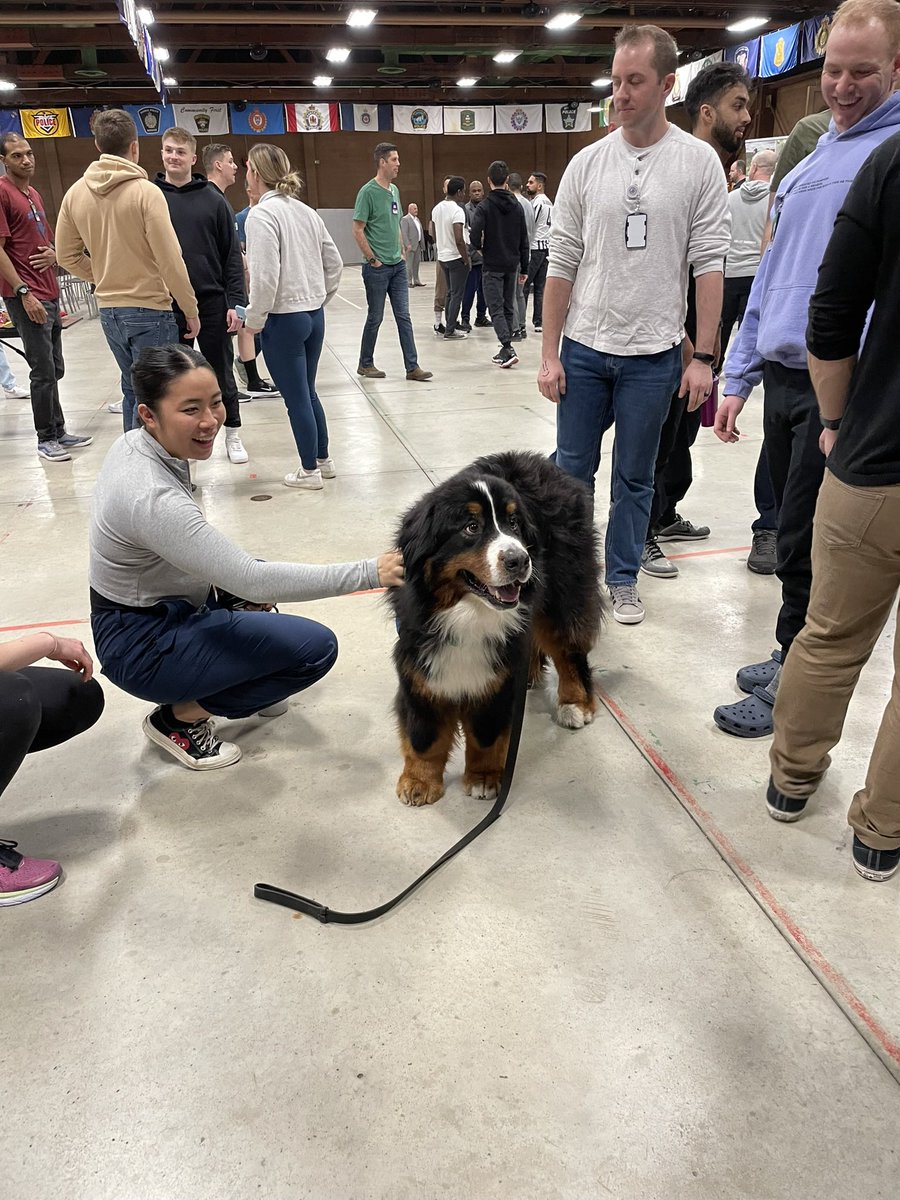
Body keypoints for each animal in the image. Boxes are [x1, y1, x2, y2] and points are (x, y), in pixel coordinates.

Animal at [391, 451, 602, 806]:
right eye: (471, 527)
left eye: (514, 524)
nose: (519, 560)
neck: (469, 612)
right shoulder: (419, 663)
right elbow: (424, 735)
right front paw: (419, 781)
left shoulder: (494, 677)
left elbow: (486, 735)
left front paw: (484, 778)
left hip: (564, 592)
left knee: (569, 649)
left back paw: (575, 704)